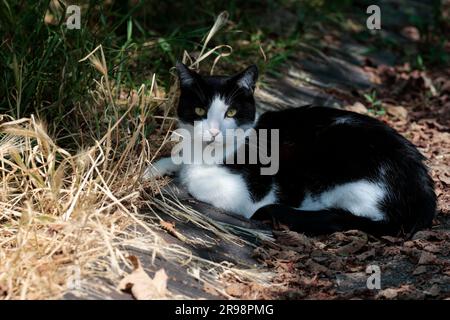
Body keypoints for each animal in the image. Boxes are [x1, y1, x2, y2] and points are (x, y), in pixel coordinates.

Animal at [147, 63, 436, 238]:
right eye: (199, 111)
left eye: (231, 112)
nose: (214, 132)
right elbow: (176, 158)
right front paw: (151, 170)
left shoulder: (248, 194)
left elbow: (196, 178)